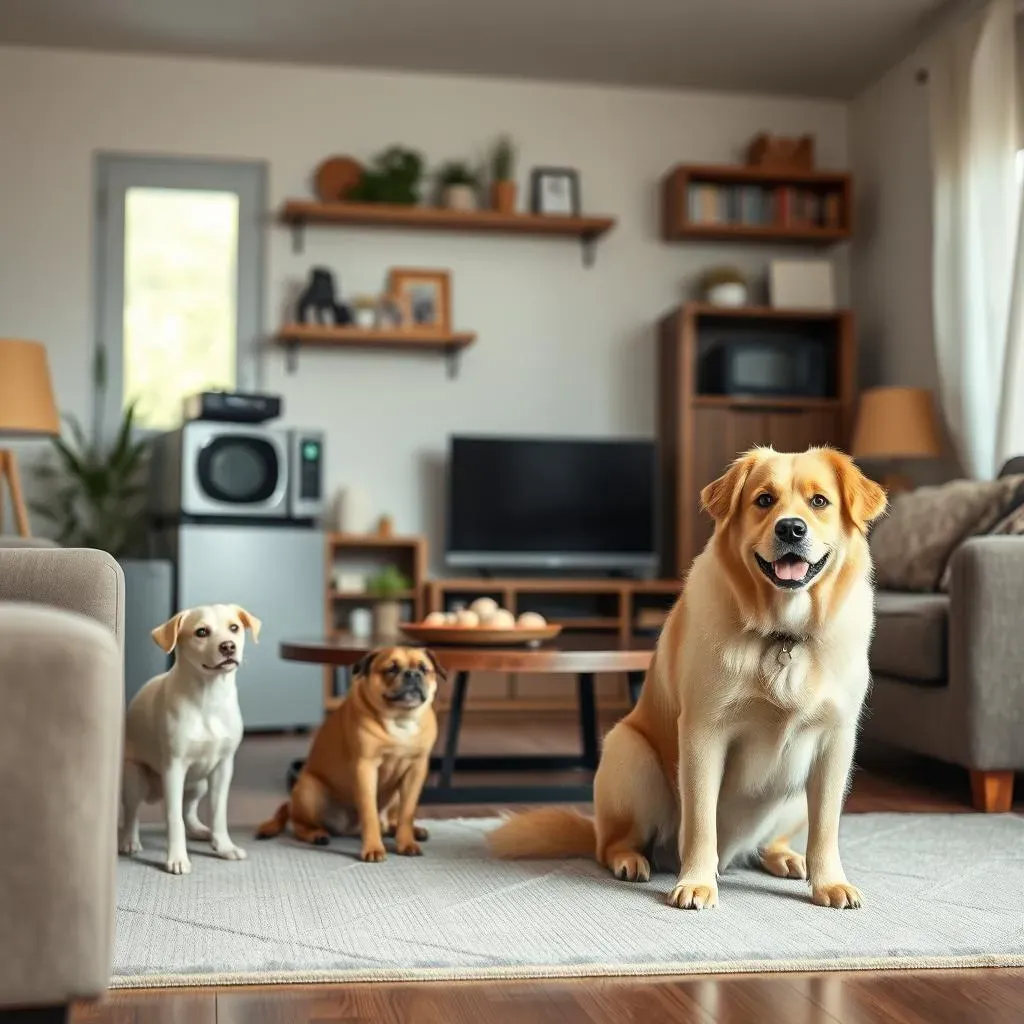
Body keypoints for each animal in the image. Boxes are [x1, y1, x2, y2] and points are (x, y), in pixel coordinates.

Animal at [118, 602, 260, 876]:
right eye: (201, 632)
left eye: (234, 628)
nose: (228, 646)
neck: (209, 697)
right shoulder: (173, 768)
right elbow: (173, 818)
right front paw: (177, 858)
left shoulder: (223, 767)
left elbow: (218, 812)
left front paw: (224, 846)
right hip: (135, 777)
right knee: (133, 813)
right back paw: (129, 841)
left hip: (199, 783)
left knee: (189, 811)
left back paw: (204, 833)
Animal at [256, 647, 440, 856]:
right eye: (391, 669)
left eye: (424, 669)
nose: (412, 674)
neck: (401, 719)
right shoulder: (365, 768)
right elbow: (369, 812)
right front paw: (374, 847)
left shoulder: (416, 771)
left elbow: (406, 814)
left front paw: (407, 842)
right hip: (309, 790)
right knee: (299, 824)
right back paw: (316, 834)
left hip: (394, 798)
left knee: (393, 820)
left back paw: (413, 831)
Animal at [489, 444, 888, 909]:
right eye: (764, 500)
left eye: (819, 501)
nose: (791, 528)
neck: (782, 633)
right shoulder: (703, 731)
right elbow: (700, 822)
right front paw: (696, 881)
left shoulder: (835, 741)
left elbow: (825, 829)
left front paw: (830, 883)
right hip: (630, 753)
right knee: (611, 844)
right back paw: (631, 860)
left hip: (796, 791)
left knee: (771, 842)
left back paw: (785, 857)